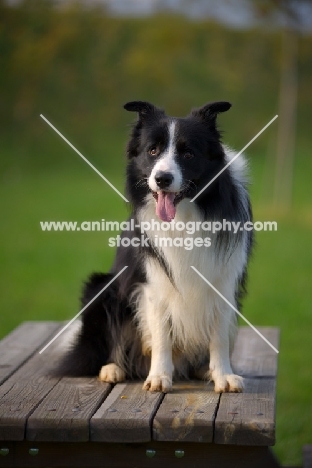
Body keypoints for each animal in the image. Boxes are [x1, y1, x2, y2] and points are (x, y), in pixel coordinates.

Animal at [57, 100, 255, 394]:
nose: (162, 178)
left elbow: (219, 336)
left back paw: (201, 368)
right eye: (152, 150)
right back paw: (113, 369)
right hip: (102, 288)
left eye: (188, 153)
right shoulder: (153, 283)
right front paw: (159, 376)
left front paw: (223, 375)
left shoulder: (223, 280)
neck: (185, 214)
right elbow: (162, 334)